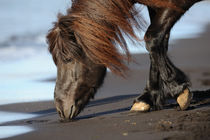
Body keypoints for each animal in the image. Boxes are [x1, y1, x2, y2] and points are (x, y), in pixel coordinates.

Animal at [46, 0, 203, 120]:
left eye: (67, 59)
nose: (60, 109)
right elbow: (160, 42)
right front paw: (147, 98)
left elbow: (152, 39)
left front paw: (178, 90)